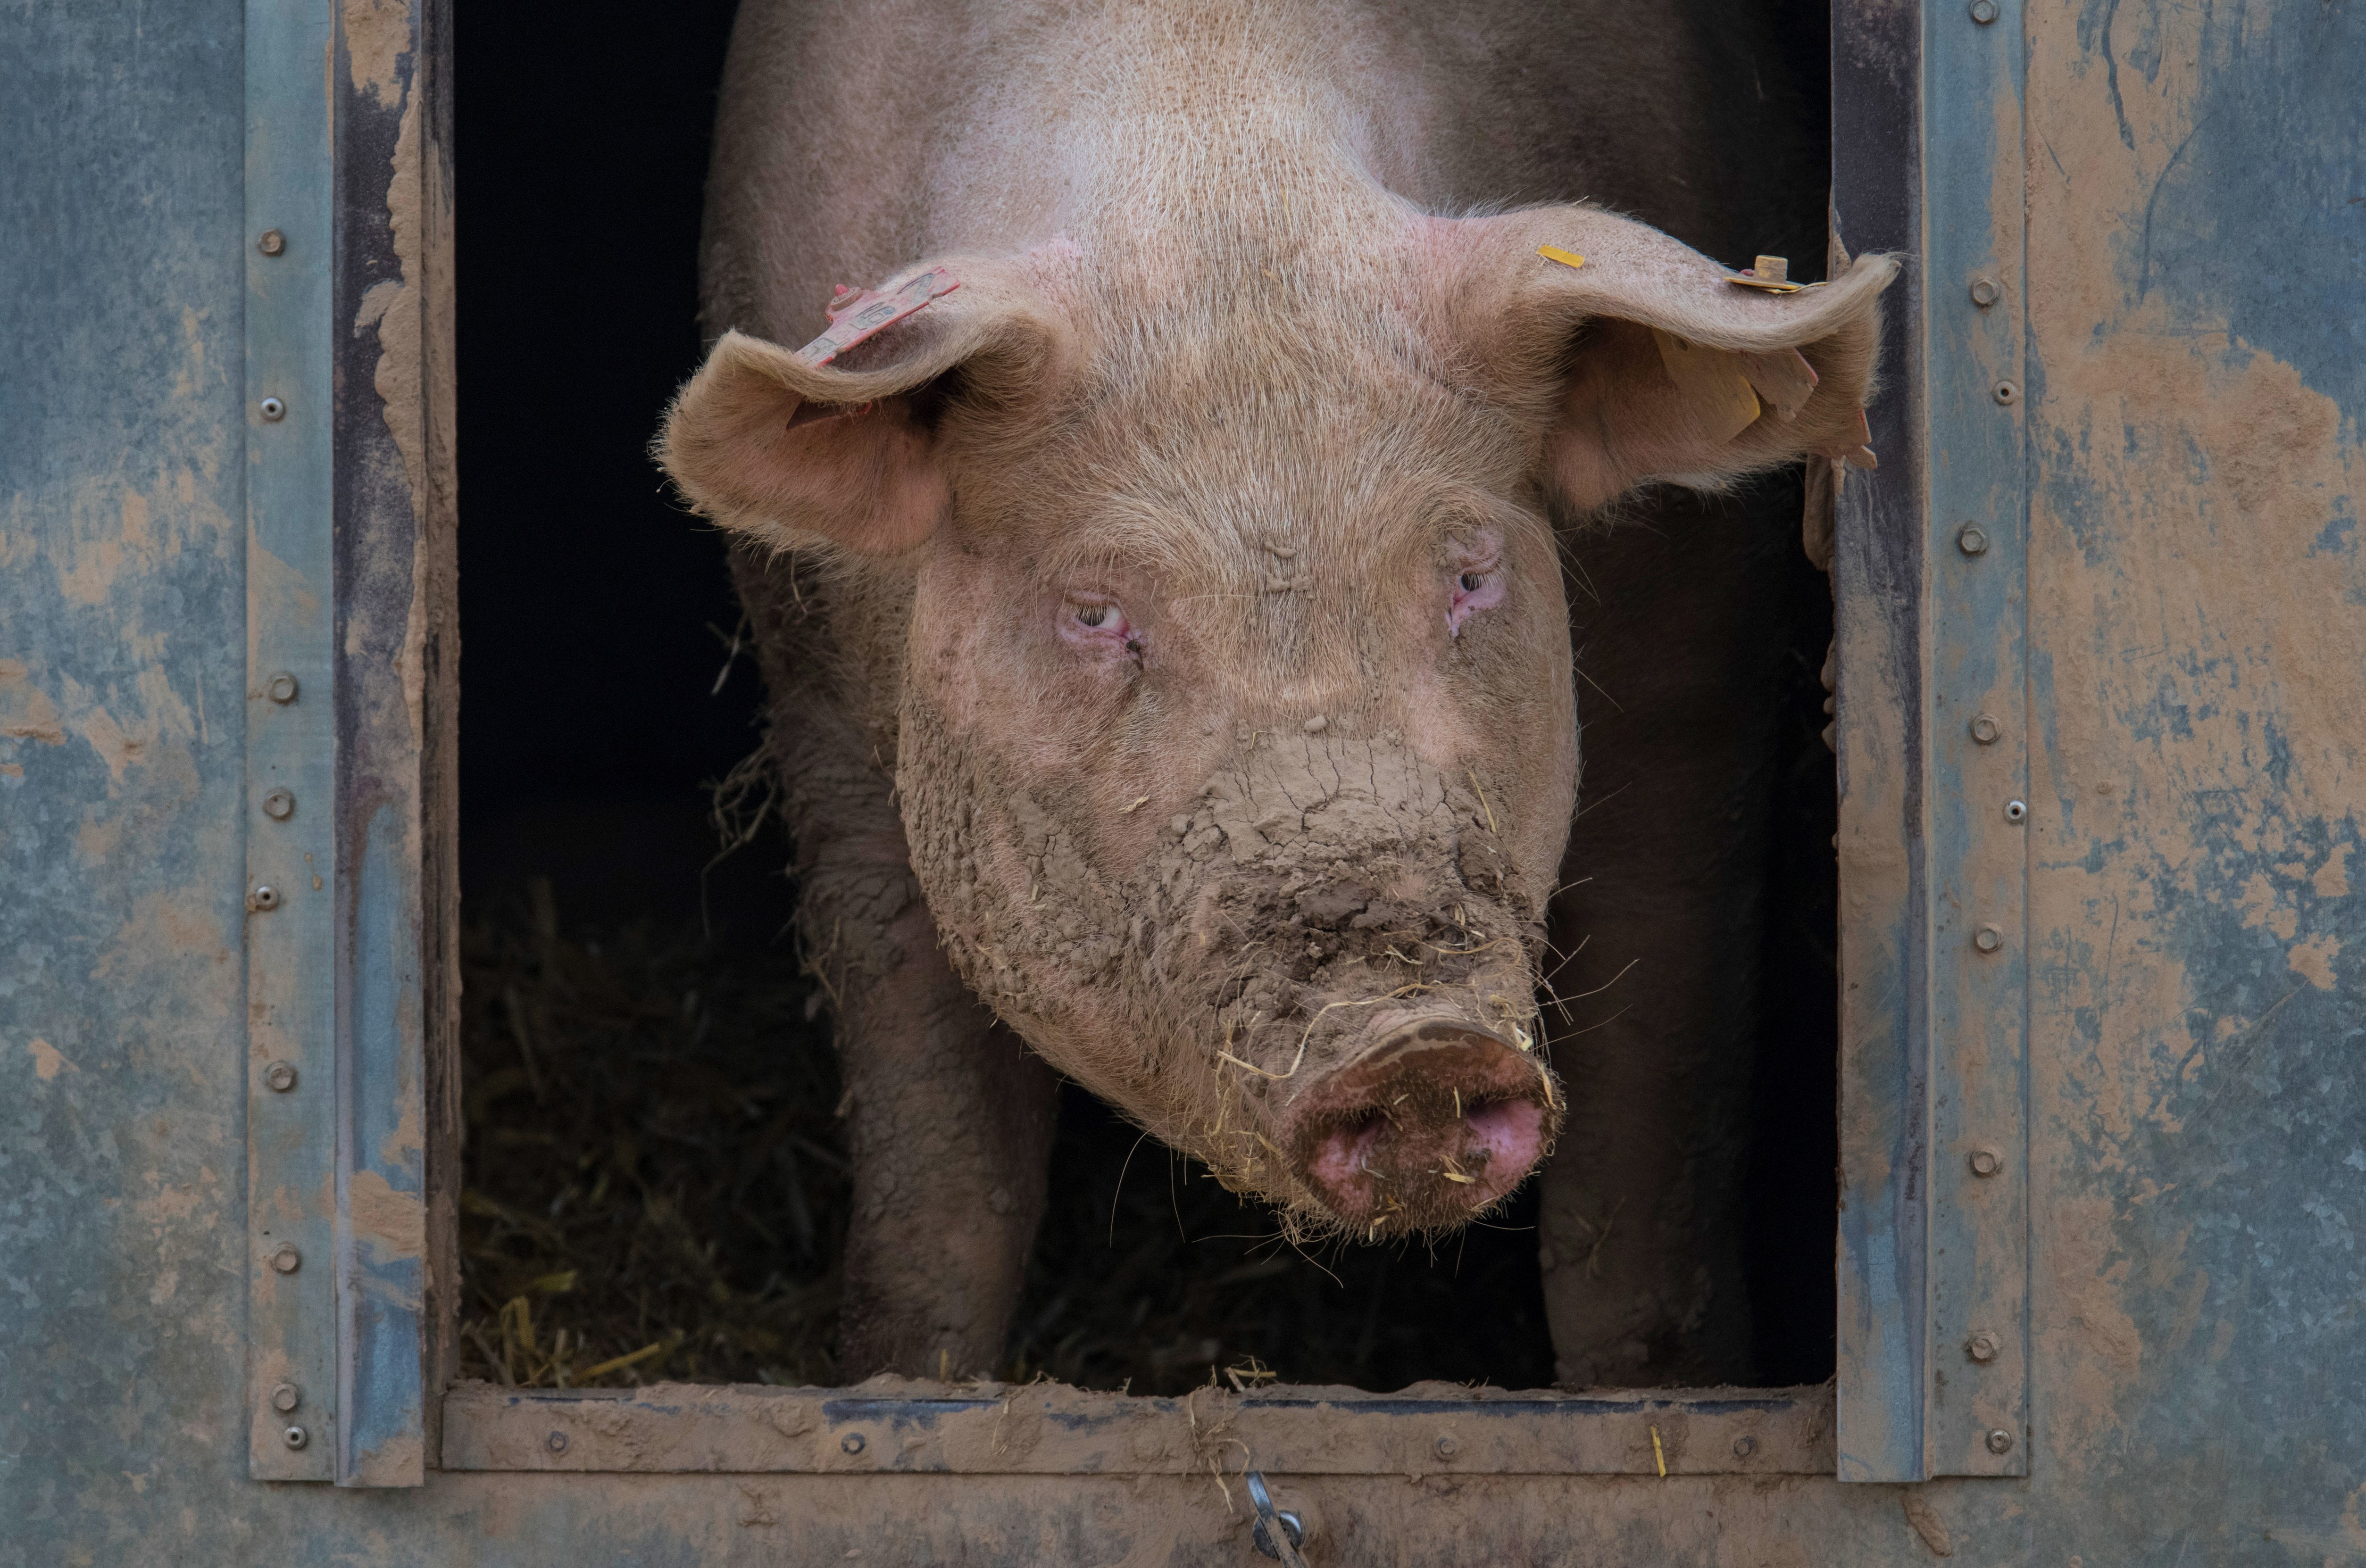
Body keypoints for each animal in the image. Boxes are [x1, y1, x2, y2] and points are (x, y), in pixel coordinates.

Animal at [658, 0, 1892, 1381]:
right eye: (1096, 611)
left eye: (1470, 571)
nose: (1412, 1047)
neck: (1216, 150)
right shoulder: (821, 703)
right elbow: (946, 1184)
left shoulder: (1700, 676)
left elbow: (1640, 1175)